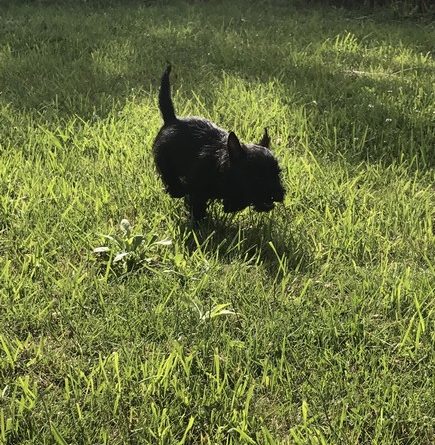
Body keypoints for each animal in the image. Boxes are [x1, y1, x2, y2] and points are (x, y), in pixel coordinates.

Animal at [153, 64, 286, 220]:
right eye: (257, 177)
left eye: (277, 173)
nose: (280, 195)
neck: (221, 166)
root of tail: (172, 119)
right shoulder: (197, 190)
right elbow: (197, 207)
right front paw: (198, 223)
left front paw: (230, 204)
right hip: (164, 161)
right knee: (170, 179)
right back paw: (175, 190)